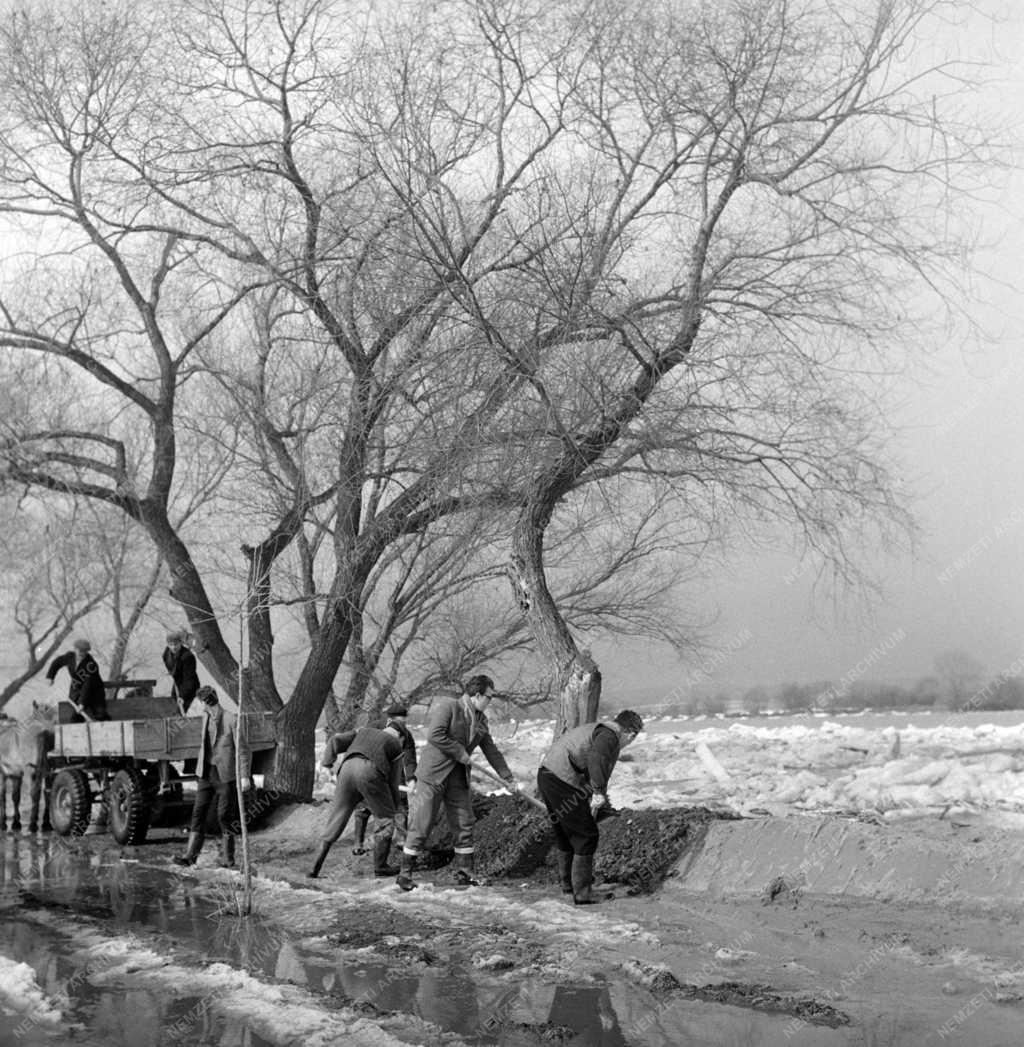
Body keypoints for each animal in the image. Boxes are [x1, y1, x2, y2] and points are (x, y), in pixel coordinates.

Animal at [0, 703, 55, 833]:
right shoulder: (16, 774)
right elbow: (15, 797)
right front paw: (15, 823)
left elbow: (3, 796)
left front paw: (4, 823)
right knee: (46, 793)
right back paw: (45, 824)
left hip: (35, 771)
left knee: (37, 794)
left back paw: (34, 825)